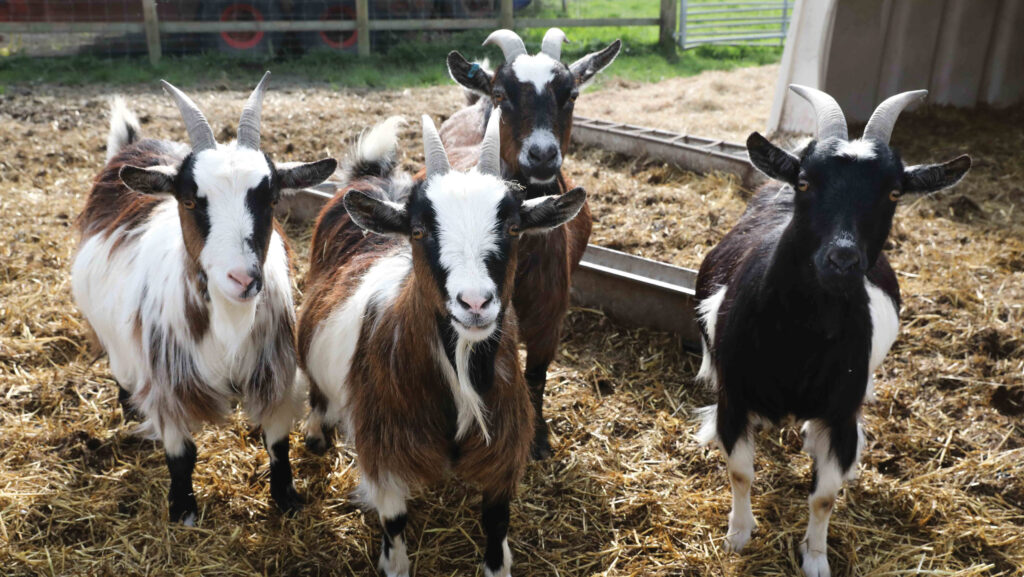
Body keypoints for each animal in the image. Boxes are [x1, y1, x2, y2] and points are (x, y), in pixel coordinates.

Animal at [71, 73, 337, 525]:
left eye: (271, 199)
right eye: (190, 200)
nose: (243, 278)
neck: (228, 322)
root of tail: (137, 145)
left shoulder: (275, 375)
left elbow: (277, 443)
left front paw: (286, 498)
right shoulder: (168, 385)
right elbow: (182, 455)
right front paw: (182, 509)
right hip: (118, 343)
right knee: (121, 371)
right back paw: (129, 410)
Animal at [297, 110, 586, 577]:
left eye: (513, 227)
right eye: (418, 231)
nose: (475, 303)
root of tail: (375, 179)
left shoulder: (503, 451)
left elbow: (496, 523)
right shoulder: (385, 453)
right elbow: (395, 522)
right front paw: (394, 563)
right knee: (317, 388)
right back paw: (315, 433)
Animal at [443, 28, 620, 459]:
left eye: (571, 94)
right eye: (501, 94)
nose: (541, 155)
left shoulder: (549, 315)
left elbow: (537, 375)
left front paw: (538, 440)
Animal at [696, 85, 971, 576]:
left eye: (894, 192)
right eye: (806, 182)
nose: (842, 258)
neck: (800, 338)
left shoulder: (841, 415)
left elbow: (824, 497)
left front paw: (816, 558)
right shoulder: (734, 398)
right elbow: (740, 471)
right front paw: (738, 536)